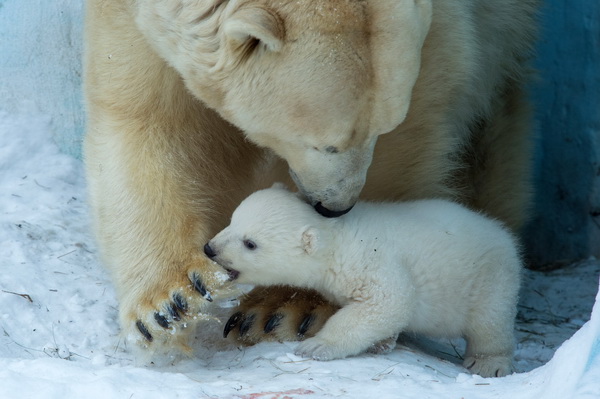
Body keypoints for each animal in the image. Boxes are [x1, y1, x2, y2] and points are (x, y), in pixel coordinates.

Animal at [84, 1, 540, 354]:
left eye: (379, 129)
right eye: (326, 145)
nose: (335, 207)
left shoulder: (445, 39)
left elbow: (411, 138)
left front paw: (287, 307)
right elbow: (146, 118)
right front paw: (171, 304)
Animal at [205, 184, 520, 378]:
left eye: (250, 243)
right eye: (232, 220)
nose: (210, 248)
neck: (338, 236)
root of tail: (504, 235)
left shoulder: (371, 262)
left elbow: (387, 302)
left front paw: (316, 346)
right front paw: (382, 343)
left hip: (491, 277)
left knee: (490, 322)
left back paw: (488, 363)